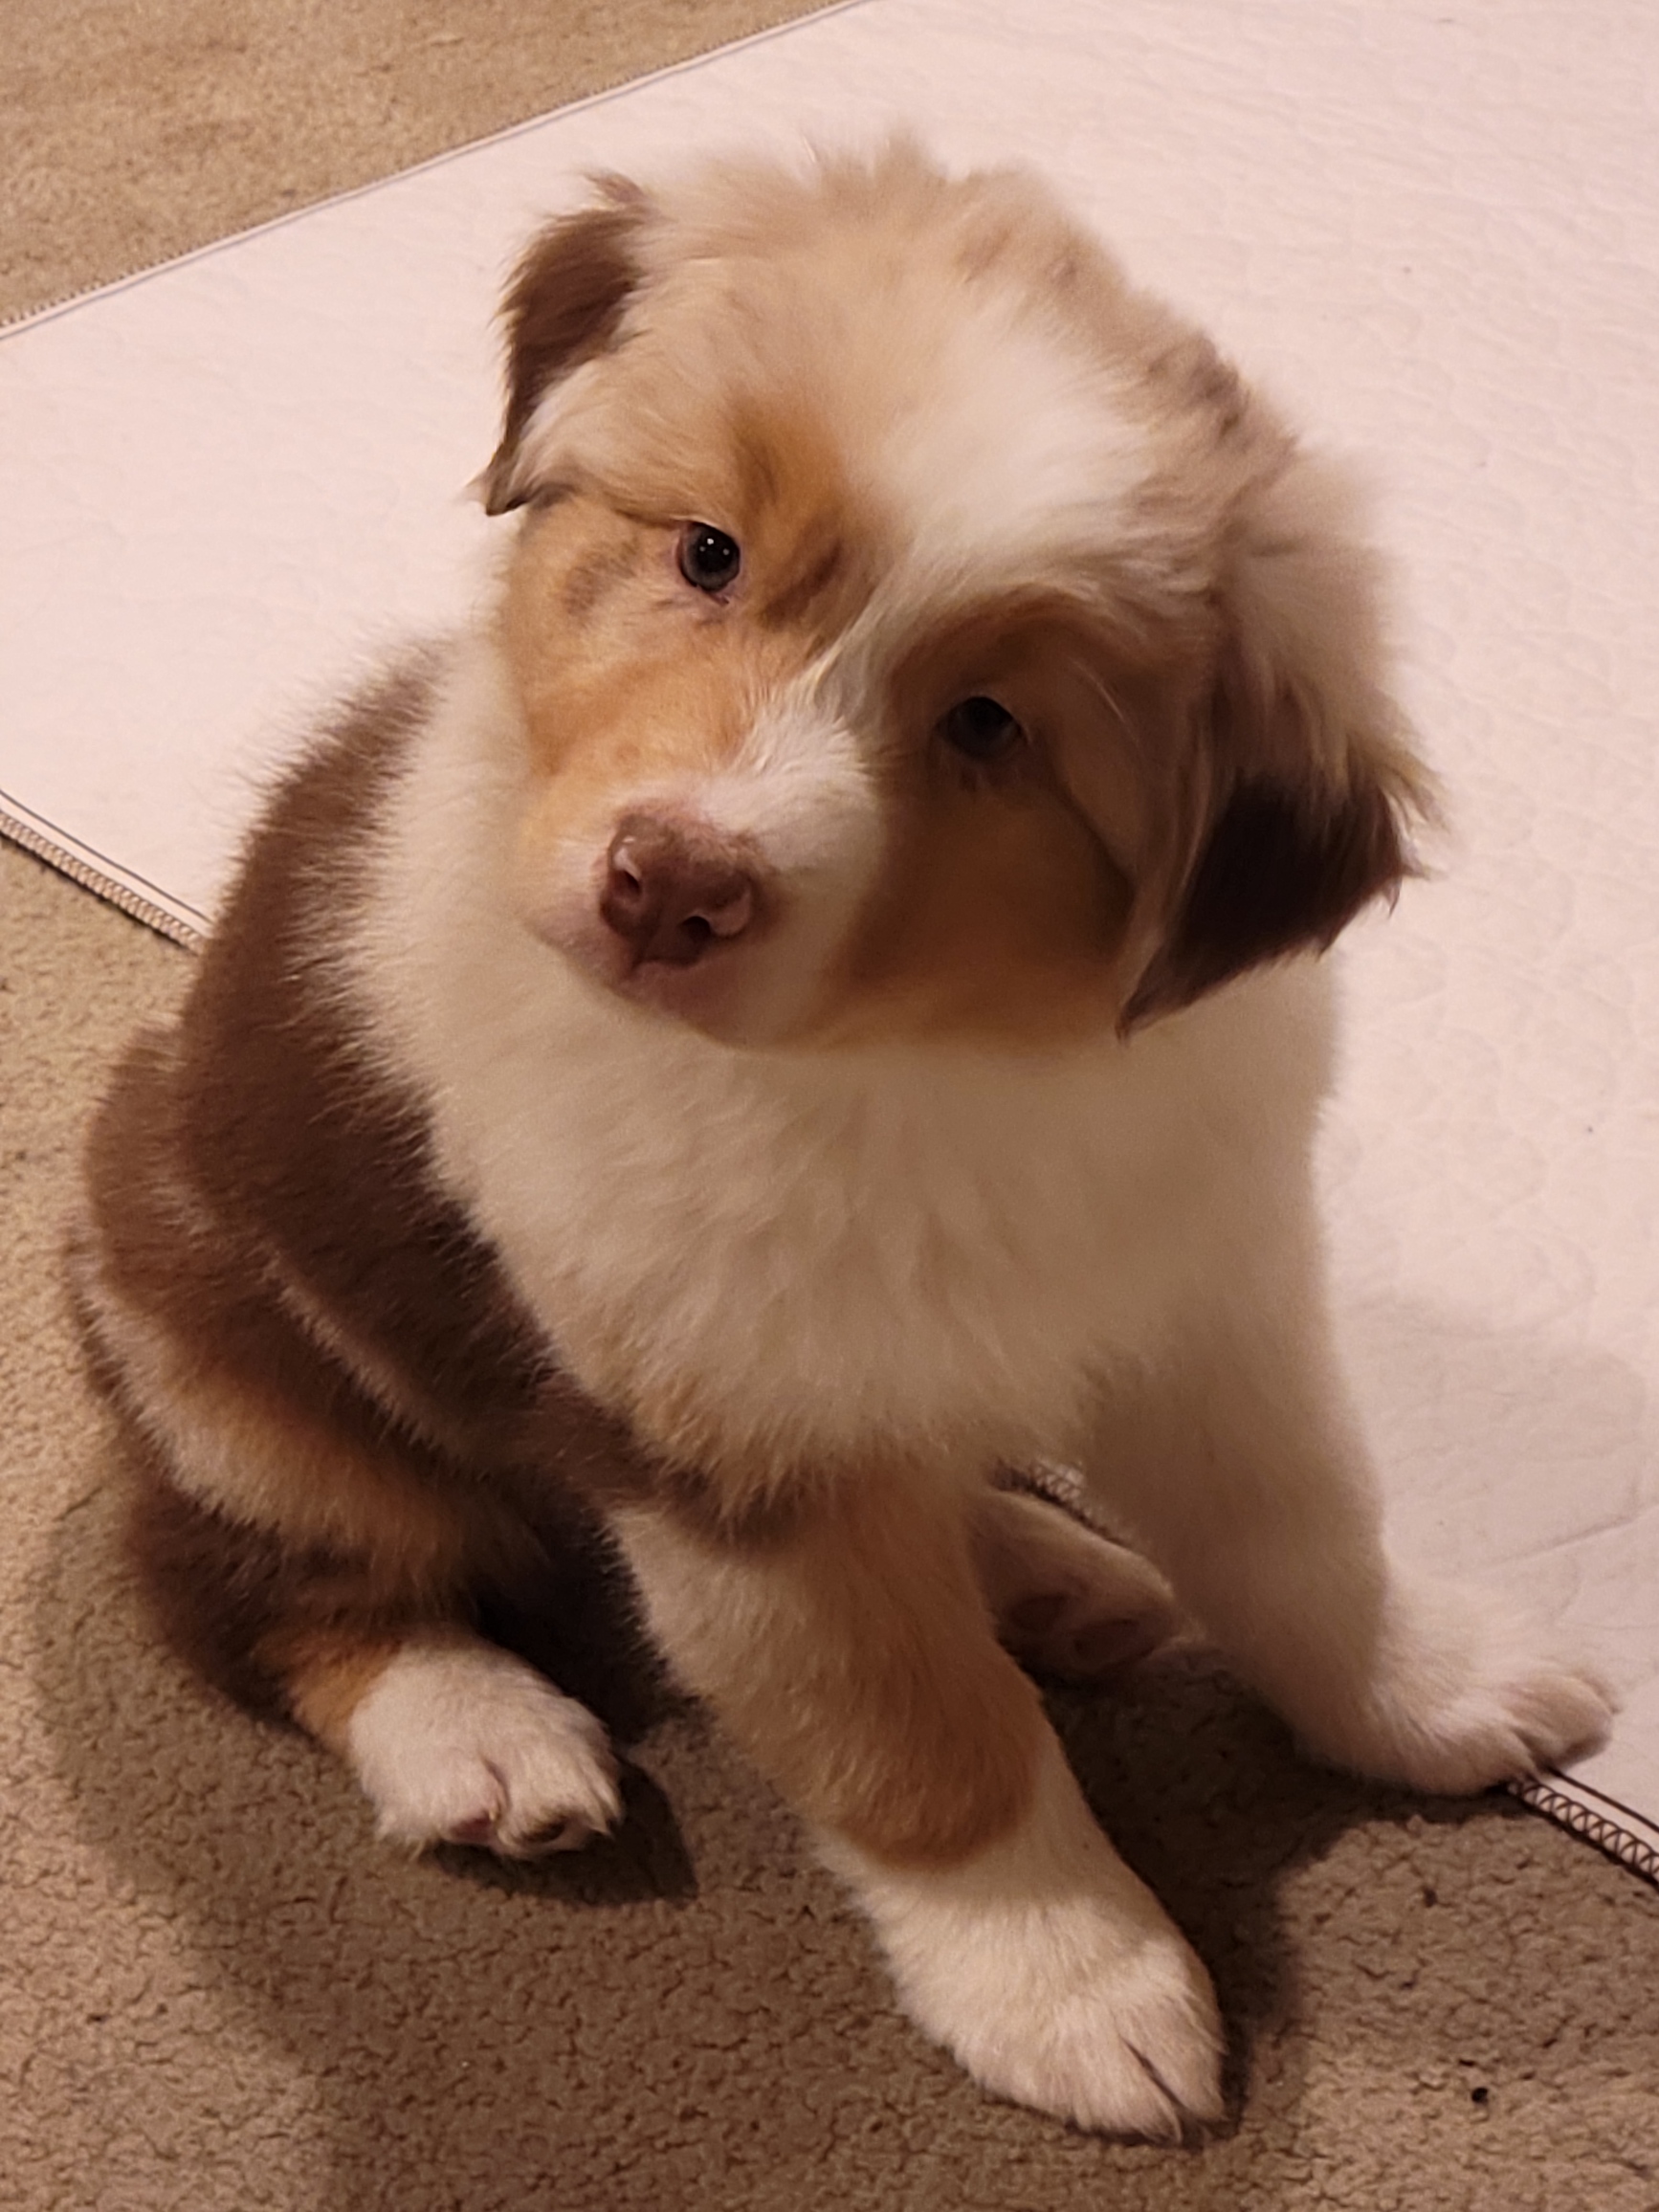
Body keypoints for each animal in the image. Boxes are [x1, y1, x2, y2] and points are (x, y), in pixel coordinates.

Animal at [75, 143, 1612, 2137]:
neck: (919, 1062)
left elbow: (1300, 1534)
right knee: (255, 1581)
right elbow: (913, 1730)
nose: (667, 886)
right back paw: (476, 1728)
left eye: (986, 726)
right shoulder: (719, 1452)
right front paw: (1071, 1982)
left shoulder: (1211, 1286)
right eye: (705, 554)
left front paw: (1421, 1693)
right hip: (202, 1334)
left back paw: (1045, 1568)